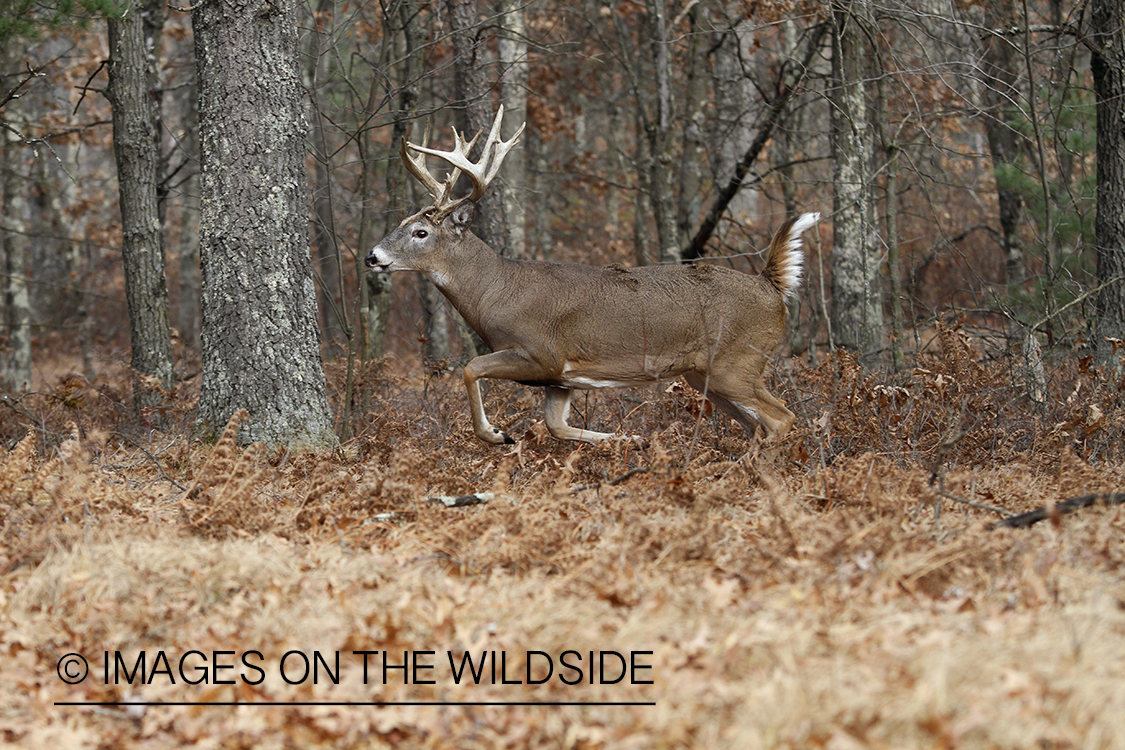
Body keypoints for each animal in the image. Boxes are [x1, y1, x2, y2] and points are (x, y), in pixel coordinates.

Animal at [369, 105, 819, 445]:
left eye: (420, 232)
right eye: (402, 222)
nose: (373, 256)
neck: (494, 291)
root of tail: (770, 286)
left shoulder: (540, 351)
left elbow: (470, 367)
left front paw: (496, 434)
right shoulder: (560, 379)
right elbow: (557, 426)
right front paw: (633, 441)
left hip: (737, 361)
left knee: (780, 419)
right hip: (703, 373)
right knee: (756, 424)